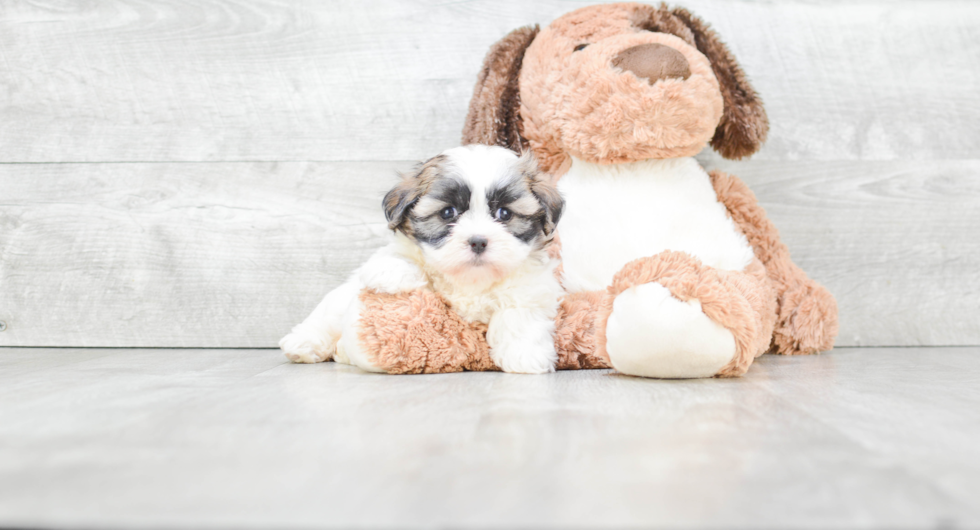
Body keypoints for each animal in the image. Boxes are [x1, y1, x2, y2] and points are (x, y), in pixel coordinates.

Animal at [280, 144, 564, 374]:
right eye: (448, 213)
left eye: (504, 214)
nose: (478, 241)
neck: (470, 280)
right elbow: (403, 256)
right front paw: (391, 271)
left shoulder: (530, 287)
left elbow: (519, 313)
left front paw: (524, 355)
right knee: (328, 316)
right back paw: (303, 342)